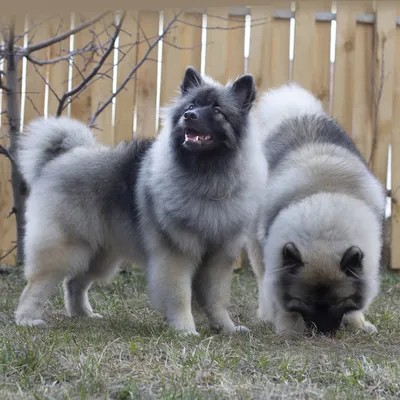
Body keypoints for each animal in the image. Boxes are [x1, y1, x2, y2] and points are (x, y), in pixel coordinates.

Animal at [14, 66, 268, 334]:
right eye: (191, 106)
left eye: (217, 110)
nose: (189, 116)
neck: (208, 176)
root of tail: (58, 158)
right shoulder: (176, 254)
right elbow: (180, 295)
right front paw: (185, 329)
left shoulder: (218, 257)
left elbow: (216, 298)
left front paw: (226, 327)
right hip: (66, 247)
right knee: (38, 284)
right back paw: (28, 318)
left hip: (100, 254)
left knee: (75, 282)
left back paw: (83, 315)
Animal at [248, 83, 386, 336]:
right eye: (305, 303)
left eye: (338, 303)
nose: (323, 332)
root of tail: (292, 114)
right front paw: (288, 327)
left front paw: (358, 323)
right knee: (263, 282)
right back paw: (266, 315)